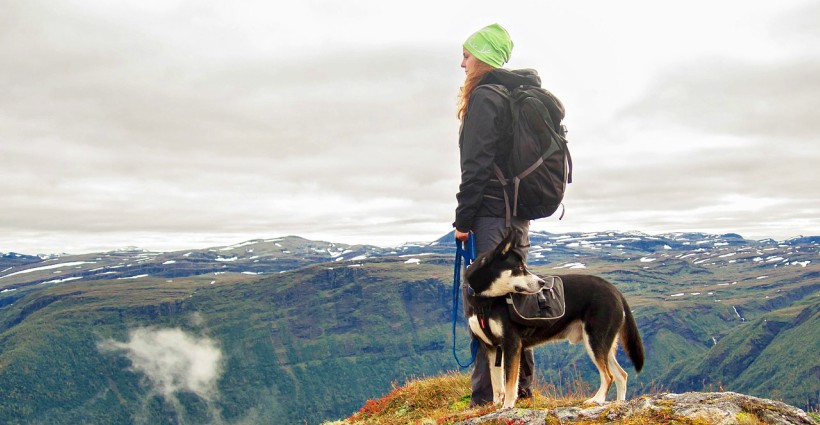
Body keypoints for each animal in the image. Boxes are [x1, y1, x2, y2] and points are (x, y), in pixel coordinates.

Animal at [464, 230, 644, 410]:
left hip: (595, 340)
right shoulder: (492, 347)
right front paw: (495, 407)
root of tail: (615, 290)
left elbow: (509, 384)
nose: (542, 282)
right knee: (621, 375)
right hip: (603, 344)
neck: (485, 300)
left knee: (608, 375)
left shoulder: (511, 344)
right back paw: (619, 403)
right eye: (520, 268)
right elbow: (496, 384)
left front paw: (507, 406)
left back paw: (597, 400)